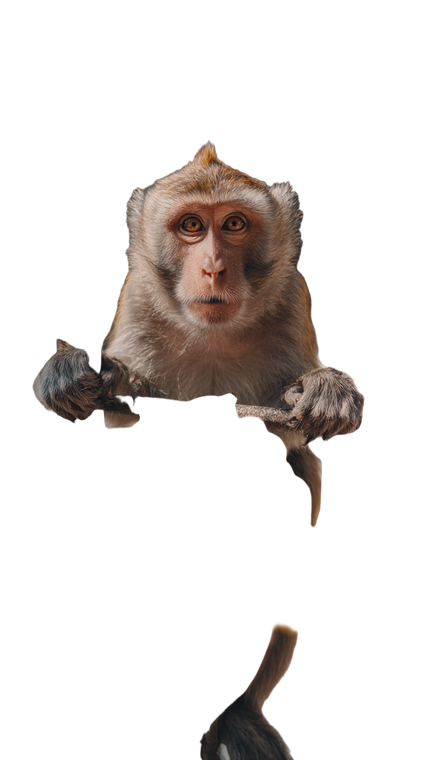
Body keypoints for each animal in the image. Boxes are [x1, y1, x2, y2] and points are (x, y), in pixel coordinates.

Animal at [30, 137, 366, 529]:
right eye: (191, 224)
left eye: (234, 223)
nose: (213, 269)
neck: (212, 335)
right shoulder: (135, 301)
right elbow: (122, 417)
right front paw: (67, 371)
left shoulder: (292, 299)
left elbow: (294, 439)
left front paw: (328, 389)